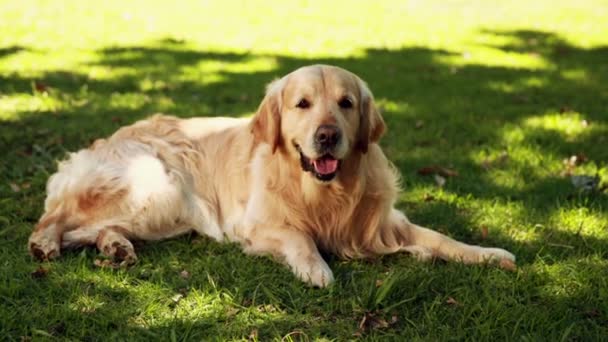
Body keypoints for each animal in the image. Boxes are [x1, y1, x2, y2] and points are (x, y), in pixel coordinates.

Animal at [27, 64, 512, 286]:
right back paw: (46, 243)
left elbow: (442, 239)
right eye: (302, 104)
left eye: (346, 103)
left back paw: (117, 247)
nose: (328, 136)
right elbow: (300, 237)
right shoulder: (258, 225)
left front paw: (488, 253)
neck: (323, 191)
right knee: (59, 218)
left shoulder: (383, 224)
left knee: (95, 227)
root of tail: (105, 139)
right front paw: (316, 269)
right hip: (159, 186)